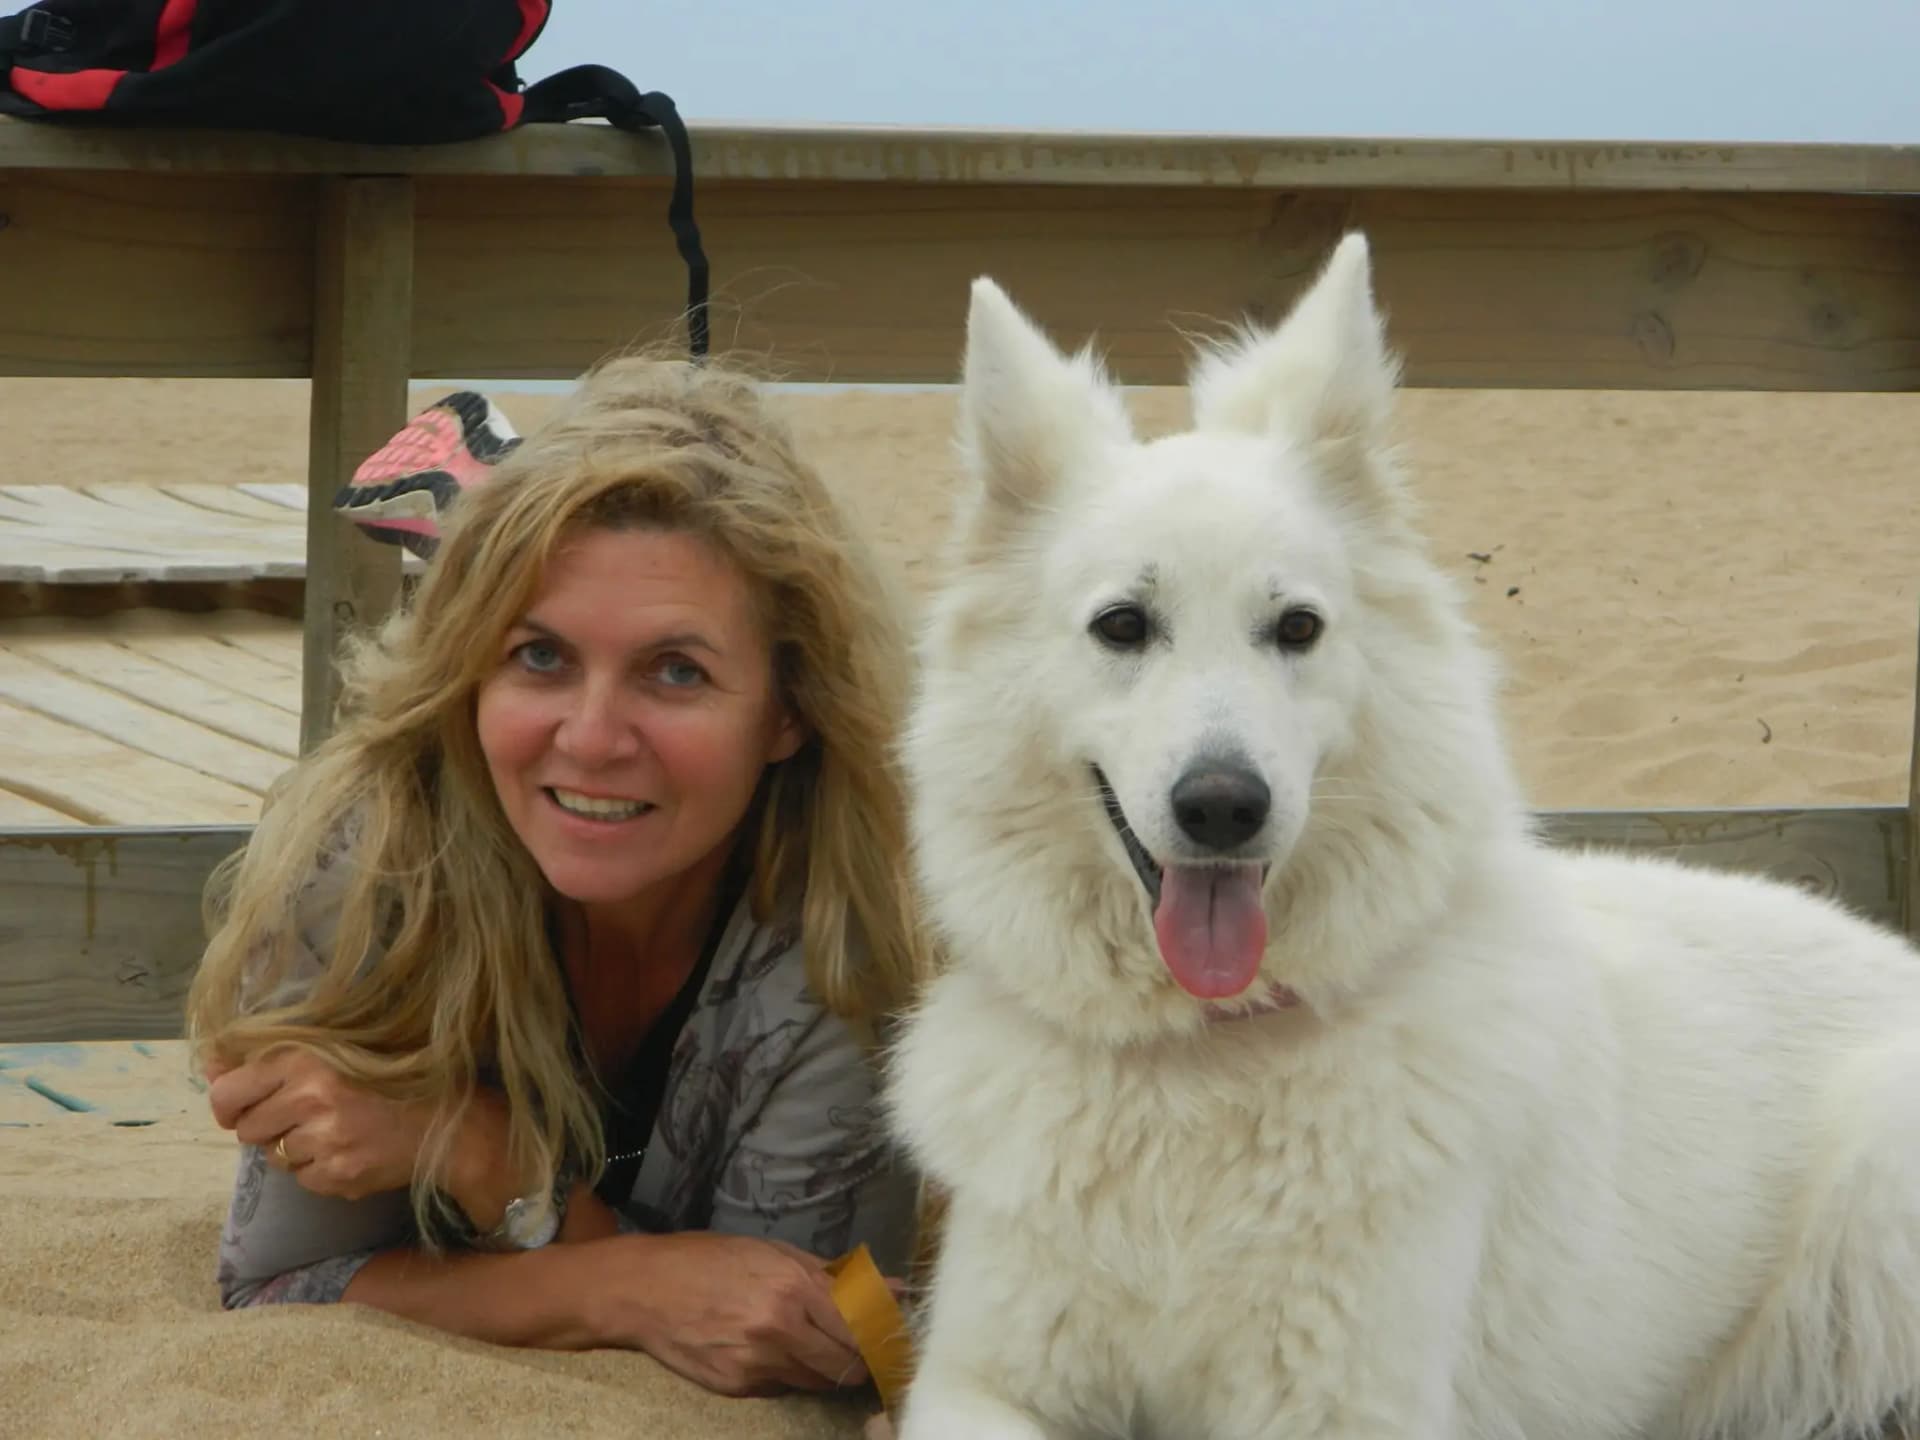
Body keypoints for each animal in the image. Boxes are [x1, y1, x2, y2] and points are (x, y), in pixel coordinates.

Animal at [887, 237, 1920, 1440]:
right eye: (1123, 627)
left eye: (1296, 627)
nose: (1224, 808)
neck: (1203, 1062)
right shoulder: (980, 1379)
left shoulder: (1349, 1406)